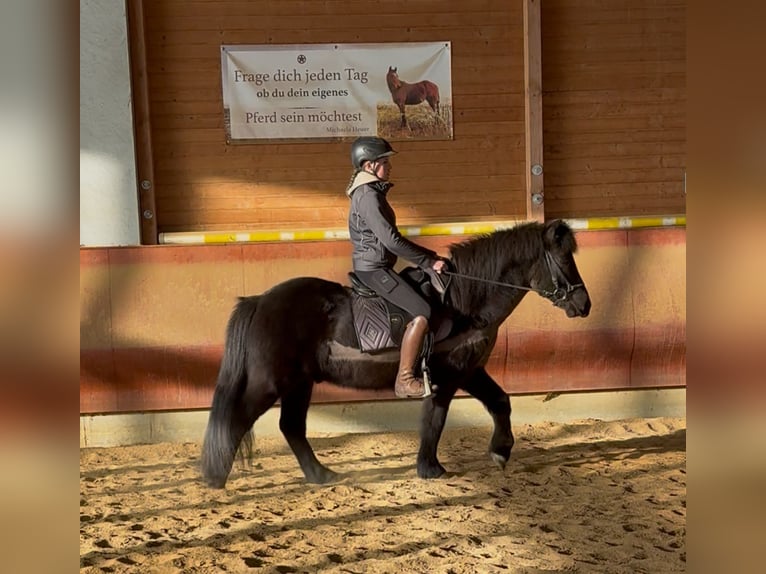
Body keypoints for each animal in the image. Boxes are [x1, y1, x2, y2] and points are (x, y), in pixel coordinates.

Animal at [201, 220, 591, 488]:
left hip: (299, 383)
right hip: (271, 382)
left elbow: (500, 402)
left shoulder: (470, 371)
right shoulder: (448, 376)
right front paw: (430, 468)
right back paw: (215, 478)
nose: (584, 304)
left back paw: (321, 474)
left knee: (291, 427)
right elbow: (435, 420)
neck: (465, 301)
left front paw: (500, 451)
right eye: (563, 260)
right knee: (237, 419)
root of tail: (259, 301)